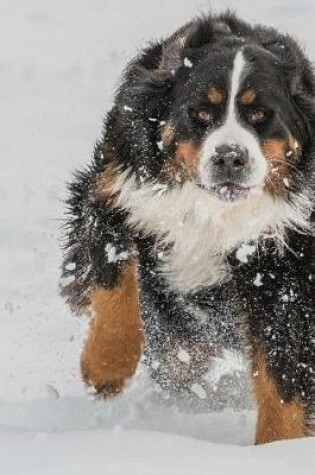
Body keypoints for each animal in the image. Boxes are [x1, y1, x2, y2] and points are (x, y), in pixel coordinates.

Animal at [60, 12, 314, 446]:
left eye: (260, 115)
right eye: (200, 113)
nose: (230, 157)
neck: (211, 211)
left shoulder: (280, 265)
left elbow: (282, 367)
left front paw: (278, 448)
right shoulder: (114, 194)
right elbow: (115, 284)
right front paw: (105, 367)